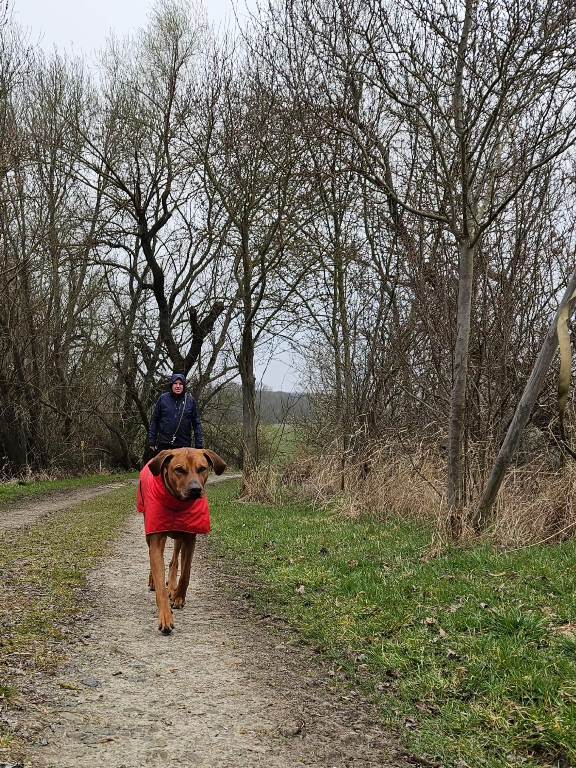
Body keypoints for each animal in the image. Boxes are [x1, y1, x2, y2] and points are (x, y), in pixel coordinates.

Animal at [137, 447, 226, 633]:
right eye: (179, 470)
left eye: (202, 468)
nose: (195, 490)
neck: (177, 504)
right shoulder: (156, 538)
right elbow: (160, 579)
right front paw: (165, 616)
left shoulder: (189, 538)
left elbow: (186, 572)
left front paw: (178, 597)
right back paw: (154, 581)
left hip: (179, 538)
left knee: (174, 561)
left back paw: (172, 587)